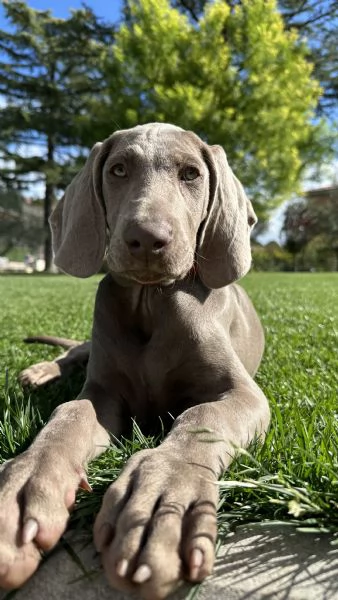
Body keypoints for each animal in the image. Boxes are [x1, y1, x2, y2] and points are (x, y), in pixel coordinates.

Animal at [0, 123, 270, 600]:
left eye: (190, 173)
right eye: (119, 169)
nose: (146, 238)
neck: (150, 302)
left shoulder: (243, 393)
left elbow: (203, 418)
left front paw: (163, 501)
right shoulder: (102, 391)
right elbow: (69, 414)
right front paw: (26, 486)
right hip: (90, 342)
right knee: (73, 352)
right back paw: (40, 372)